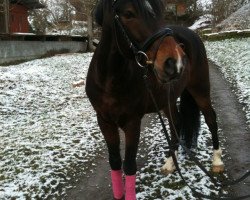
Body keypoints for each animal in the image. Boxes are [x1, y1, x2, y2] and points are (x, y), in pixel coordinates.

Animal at [86, 0, 225, 198]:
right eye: (128, 14)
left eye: (159, 12)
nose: (175, 62)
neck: (109, 80)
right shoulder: (104, 121)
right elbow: (114, 162)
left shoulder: (133, 123)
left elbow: (129, 165)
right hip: (167, 99)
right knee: (177, 122)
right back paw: (170, 163)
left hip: (200, 90)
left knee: (211, 119)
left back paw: (217, 162)